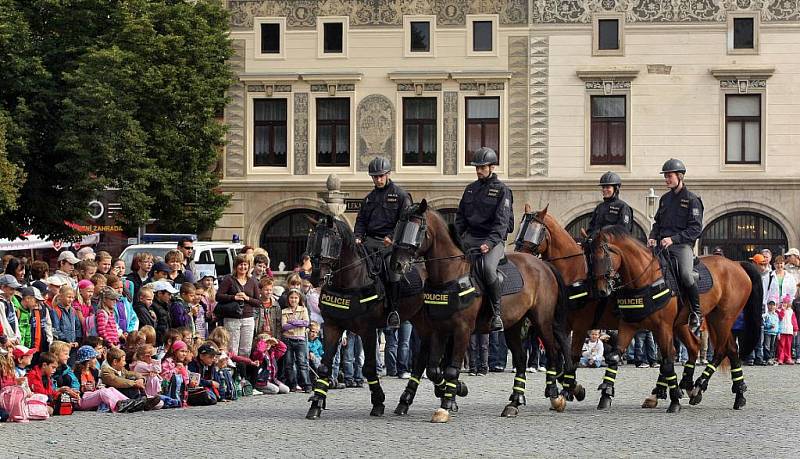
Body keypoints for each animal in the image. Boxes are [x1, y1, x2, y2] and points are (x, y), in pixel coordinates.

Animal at [304, 216, 434, 420]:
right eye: (311, 241)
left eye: (331, 243)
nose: (316, 277)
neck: (349, 281)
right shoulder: (332, 327)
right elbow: (324, 366)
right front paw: (316, 403)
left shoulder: (368, 331)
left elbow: (369, 367)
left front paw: (378, 402)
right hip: (417, 318)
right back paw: (408, 400)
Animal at [390, 199, 572, 422]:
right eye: (399, 227)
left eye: (416, 228)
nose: (397, 264)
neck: (450, 274)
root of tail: (543, 265)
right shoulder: (439, 329)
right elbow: (433, 369)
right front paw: (453, 391)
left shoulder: (462, 330)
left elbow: (451, 369)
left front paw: (446, 405)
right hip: (513, 325)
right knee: (521, 359)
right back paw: (514, 403)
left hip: (542, 321)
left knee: (553, 352)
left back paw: (555, 396)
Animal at [516, 207, 704, 408]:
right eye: (520, 228)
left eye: (535, 231)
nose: (520, 256)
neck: (573, 273)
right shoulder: (562, 325)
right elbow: (560, 358)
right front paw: (569, 388)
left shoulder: (581, 325)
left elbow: (572, 357)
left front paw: (573, 389)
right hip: (677, 324)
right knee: (691, 347)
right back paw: (683, 389)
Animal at [588, 226, 764, 414]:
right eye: (590, 258)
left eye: (603, 257)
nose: (601, 291)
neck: (645, 278)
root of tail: (737, 264)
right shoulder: (629, 325)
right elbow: (615, 356)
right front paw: (606, 395)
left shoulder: (662, 327)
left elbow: (667, 361)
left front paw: (674, 401)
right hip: (702, 321)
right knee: (715, 347)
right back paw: (721, 392)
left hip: (723, 318)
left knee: (720, 350)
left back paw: (702, 386)